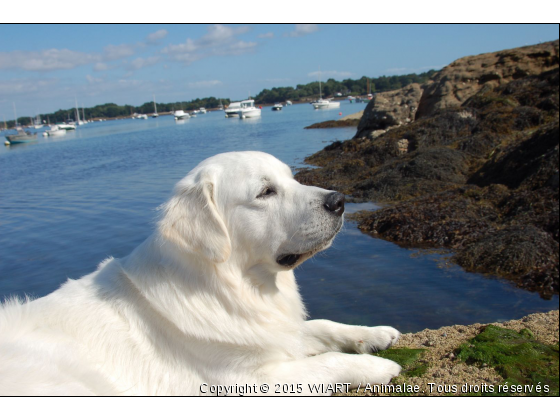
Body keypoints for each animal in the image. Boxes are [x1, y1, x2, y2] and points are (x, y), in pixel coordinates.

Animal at [0, 153, 402, 396]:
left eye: (293, 179)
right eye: (266, 192)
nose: (339, 201)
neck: (231, 287)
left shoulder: (269, 332)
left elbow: (320, 326)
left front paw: (373, 334)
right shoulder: (246, 379)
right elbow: (327, 362)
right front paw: (376, 367)